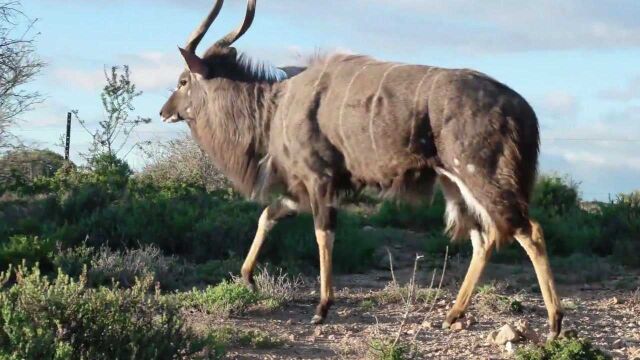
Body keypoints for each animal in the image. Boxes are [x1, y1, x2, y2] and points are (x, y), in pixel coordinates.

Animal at [160, 0, 564, 338]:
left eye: (183, 81)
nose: (164, 112)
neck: (274, 107)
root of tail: (524, 110)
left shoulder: (320, 179)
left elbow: (322, 235)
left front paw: (322, 308)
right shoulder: (300, 189)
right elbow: (268, 215)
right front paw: (247, 277)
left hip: (481, 173)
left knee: (529, 230)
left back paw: (554, 324)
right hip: (454, 181)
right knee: (484, 237)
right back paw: (453, 315)